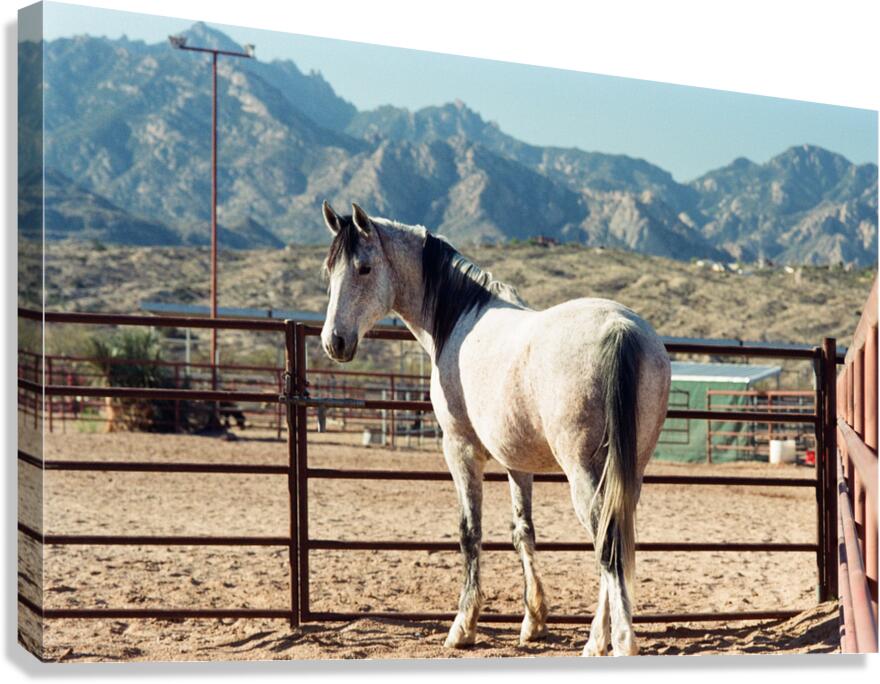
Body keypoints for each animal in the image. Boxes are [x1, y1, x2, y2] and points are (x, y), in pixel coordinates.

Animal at [318, 201, 671, 656]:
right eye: (329, 270)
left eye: (363, 268)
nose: (335, 342)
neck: (458, 318)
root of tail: (620, 329)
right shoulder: (517, 463)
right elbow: (523, 532)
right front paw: (533, 620)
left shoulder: (461, 449)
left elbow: (470, 532)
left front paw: (463, 626)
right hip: (630, 471)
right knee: (617, 539)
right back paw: (599, 638)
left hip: (584, 472)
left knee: (607, 545)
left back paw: (617, 642)